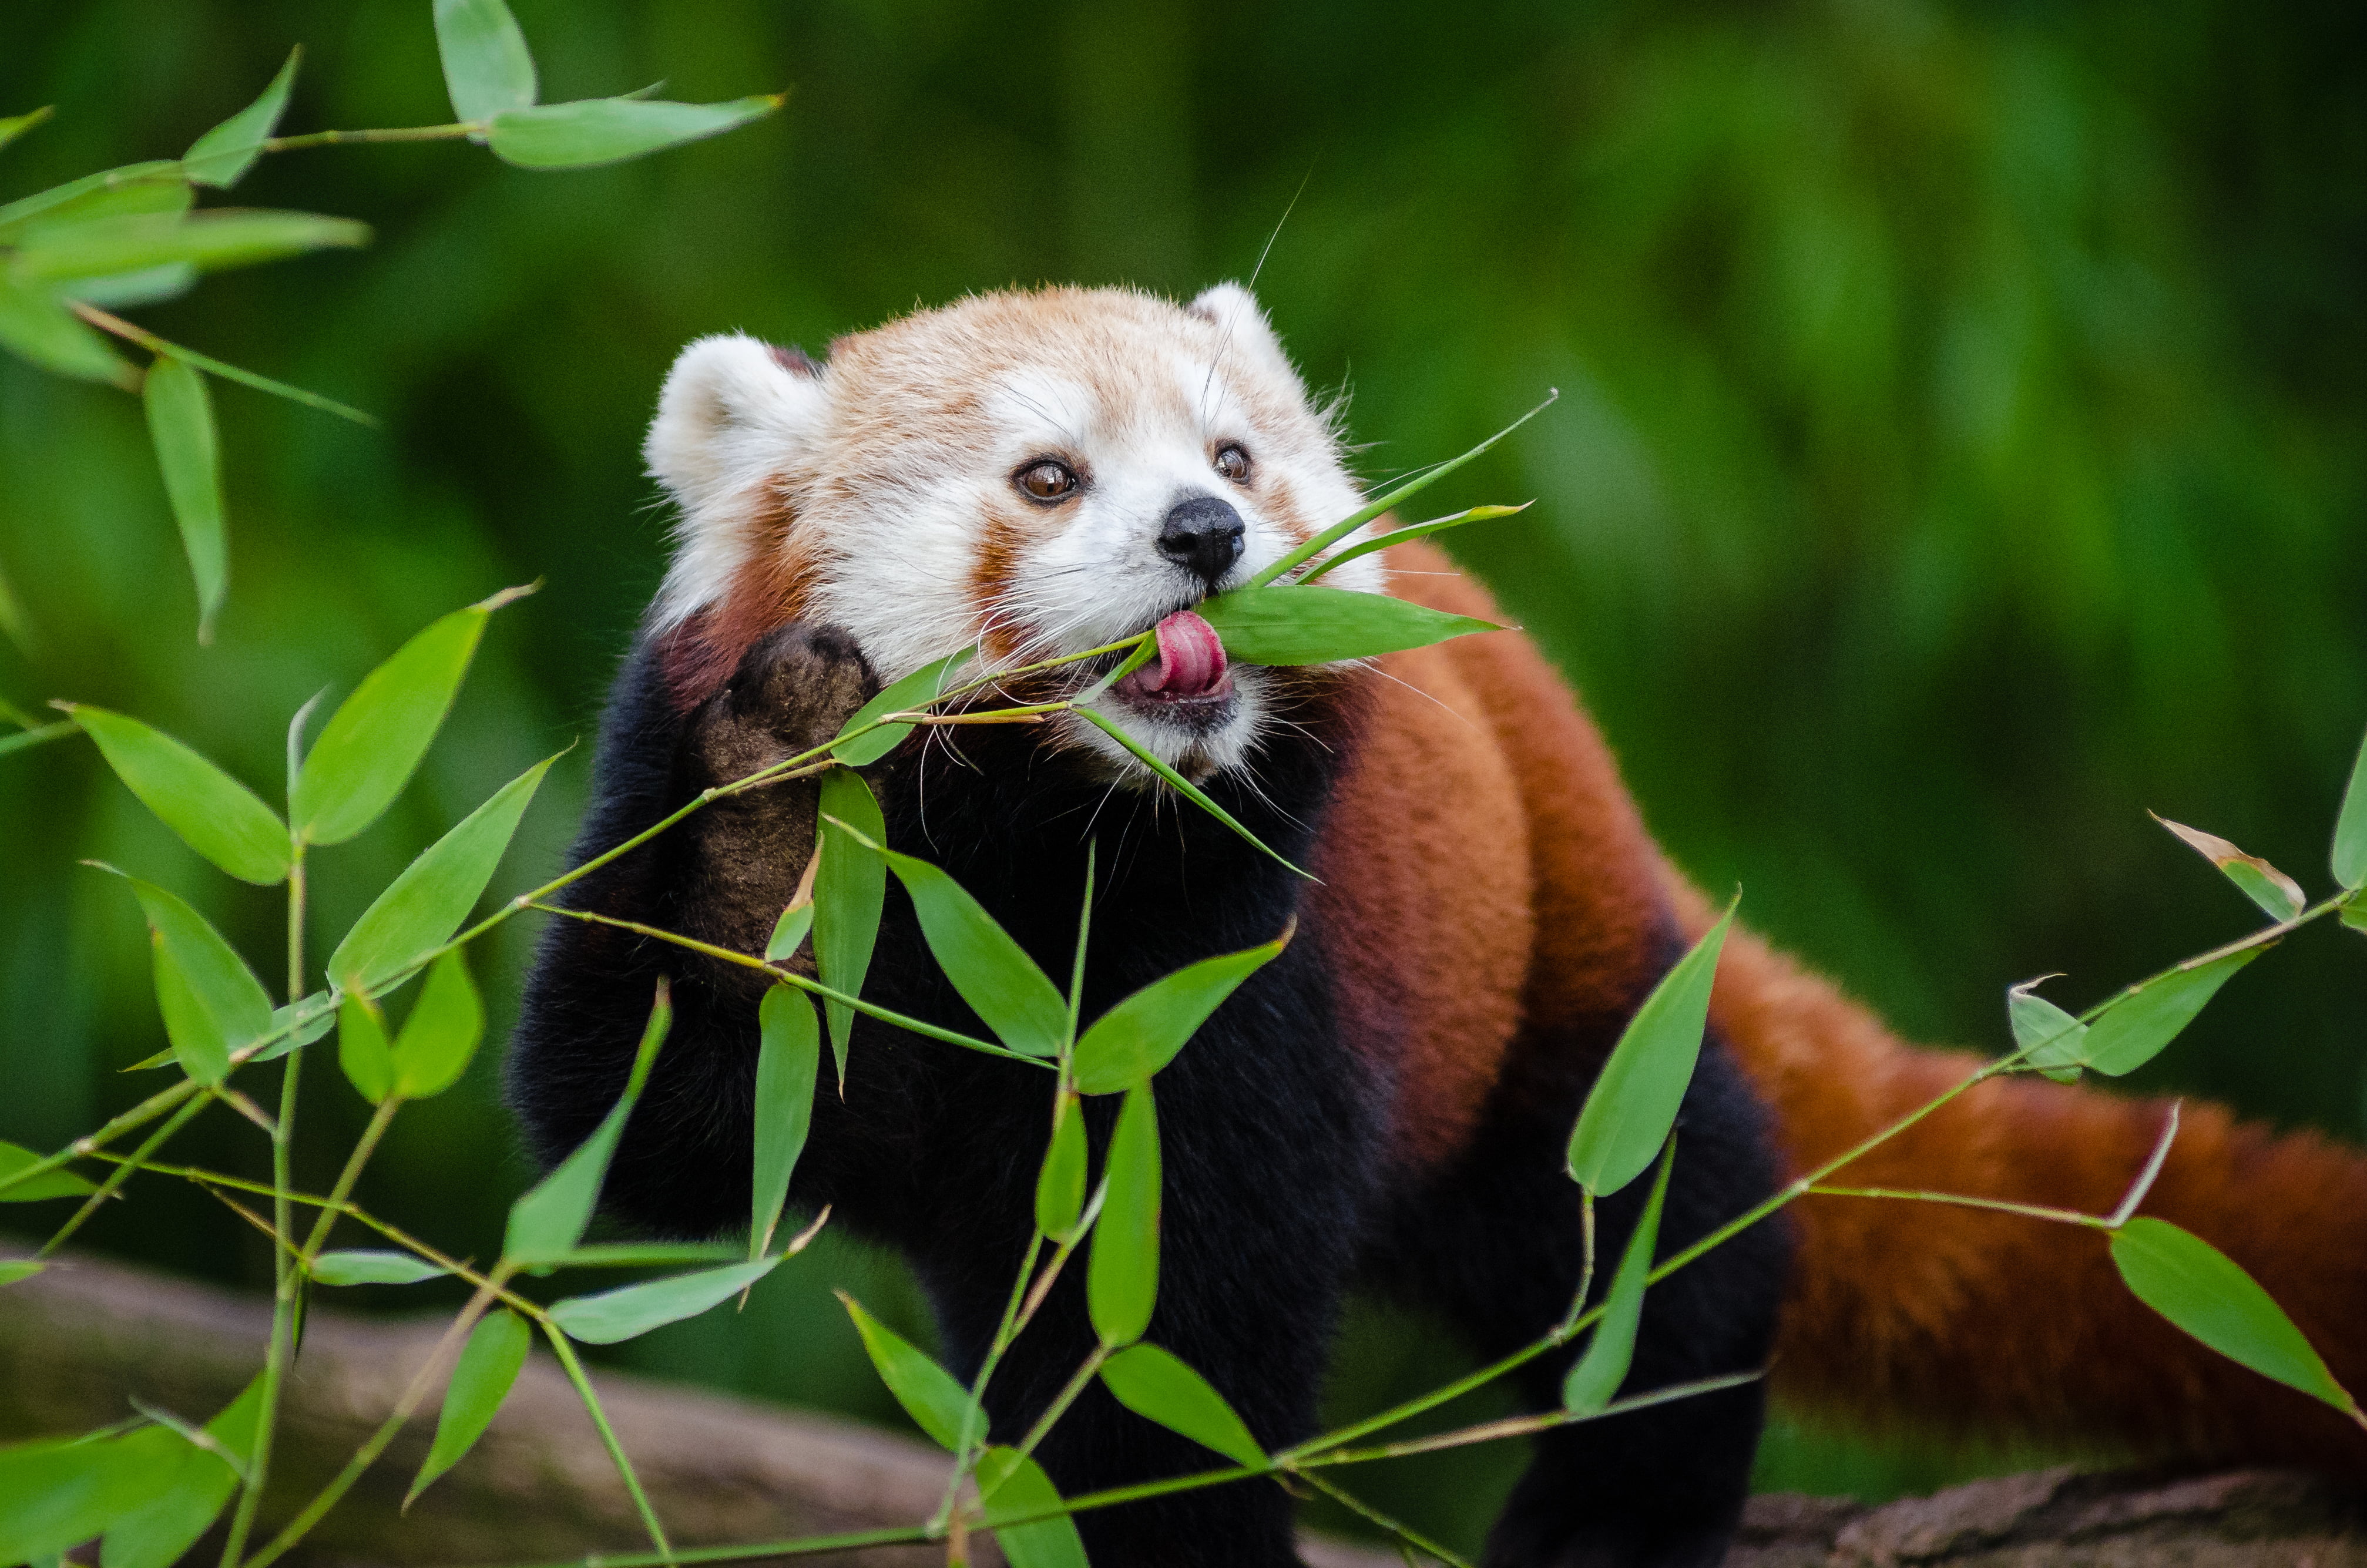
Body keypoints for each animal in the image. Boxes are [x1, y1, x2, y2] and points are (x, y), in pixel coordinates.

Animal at [509, 285, 2366, 1568]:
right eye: (1045, 477)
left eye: (1231, 457)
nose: (1208, 532)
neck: (1044, 858)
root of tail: (1587, 779)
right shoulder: (704, 840)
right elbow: (646, 1116)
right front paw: (769, 826)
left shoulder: (1237, 968)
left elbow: (1172, 1314)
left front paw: (1175, 1521)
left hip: (1549, 990)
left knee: (1654, 1216)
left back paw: (1628, 1488)